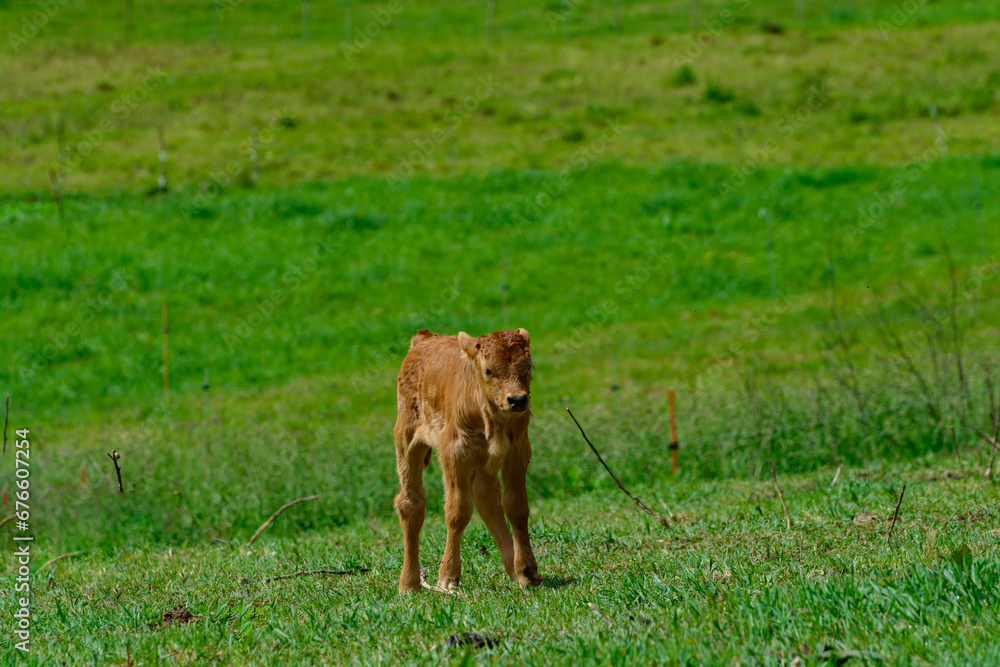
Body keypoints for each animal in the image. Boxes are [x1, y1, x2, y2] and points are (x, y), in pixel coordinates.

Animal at [392, 326, 548, 592]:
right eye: (488, 370)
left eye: (529, 366)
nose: (517, 400)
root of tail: (423, 339)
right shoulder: (455, 455)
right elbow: (457, 511)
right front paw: (448, 577)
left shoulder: (517, 454)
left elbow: (516, 507)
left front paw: (527, 573)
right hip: (406, 440)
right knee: (411, 503)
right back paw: (409, 584)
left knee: (486, 498)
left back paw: (513, 569)